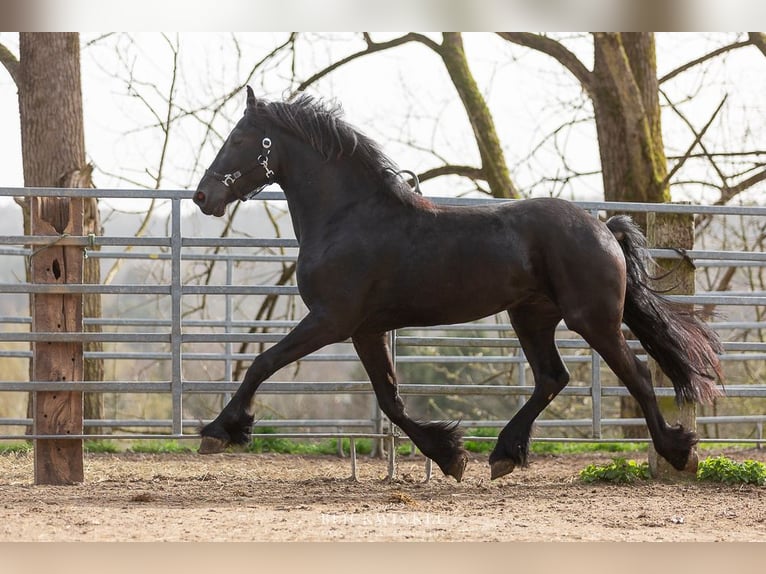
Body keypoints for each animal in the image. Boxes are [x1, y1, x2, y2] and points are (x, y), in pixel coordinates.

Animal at [193, 87, 723, 481]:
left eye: (239, 138)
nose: (202, 196)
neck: (348, 216)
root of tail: (603, 228)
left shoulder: (331, 320)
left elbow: (263, 363)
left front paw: (219, 431)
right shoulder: (364, 328)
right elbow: (390, 399)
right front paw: (449, 454)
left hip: (591, 319)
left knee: (638, 375)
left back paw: (678, 451)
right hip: (531, 316)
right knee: (552, 378)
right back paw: (504, 454)